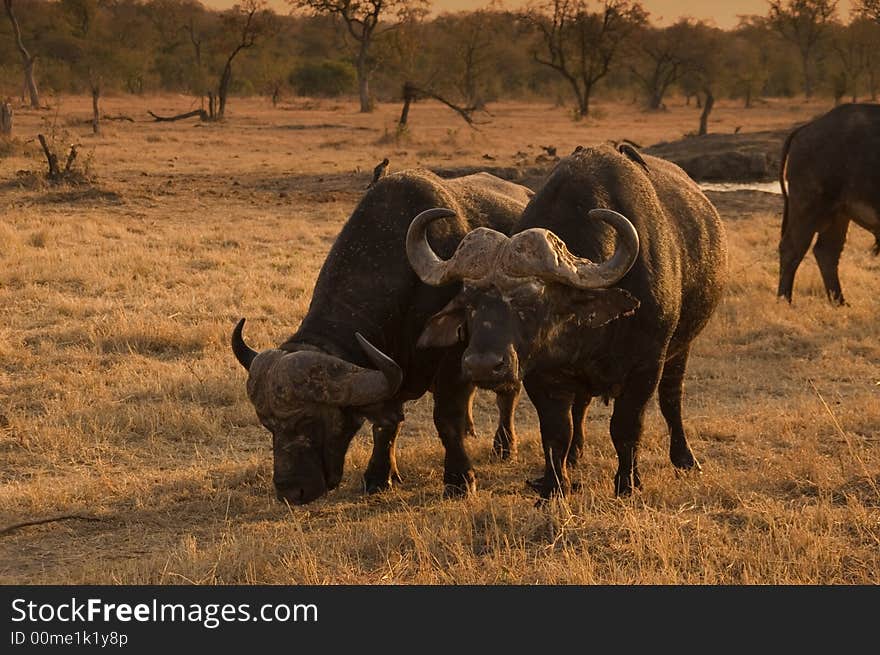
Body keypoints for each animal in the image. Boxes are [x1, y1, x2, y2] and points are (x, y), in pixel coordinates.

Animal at [230, 170, 528, 508]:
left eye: (309, 421)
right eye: (266, 423)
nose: (290, 491)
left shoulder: (455, 361)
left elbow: (445, 418)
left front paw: (460, 479)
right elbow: (385, 424)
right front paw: (379, 475)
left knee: (507, 394)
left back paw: (504, 446)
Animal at [410, 146, 724, 500]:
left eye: (531, 301)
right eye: (468, 303)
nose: (482, 365)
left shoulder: (646, 364)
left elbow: (627, 426)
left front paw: (627, 484)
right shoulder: (540, 372)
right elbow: (556, 430)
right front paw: (553, 485)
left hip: (680, 350)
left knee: (672, 401)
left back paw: (685, 458)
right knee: (580, 407)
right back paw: (574, 456)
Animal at [776, 104, 880, 306]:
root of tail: (806, 128)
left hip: (839, 214)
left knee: (827, 252)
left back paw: (839, 301)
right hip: (808, 207)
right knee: (792, 248)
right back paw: (785, 299)